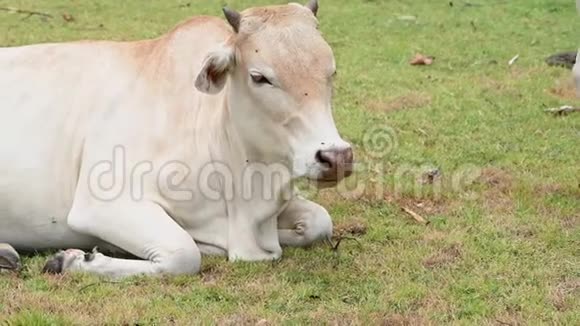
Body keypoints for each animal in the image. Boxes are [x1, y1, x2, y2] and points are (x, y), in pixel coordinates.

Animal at [0, 0, 354, 278]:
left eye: (331, 71)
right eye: (259, 77)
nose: (337, 157)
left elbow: (319, 221)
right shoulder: (100, 204)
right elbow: (183, 254)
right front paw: (72, 260)